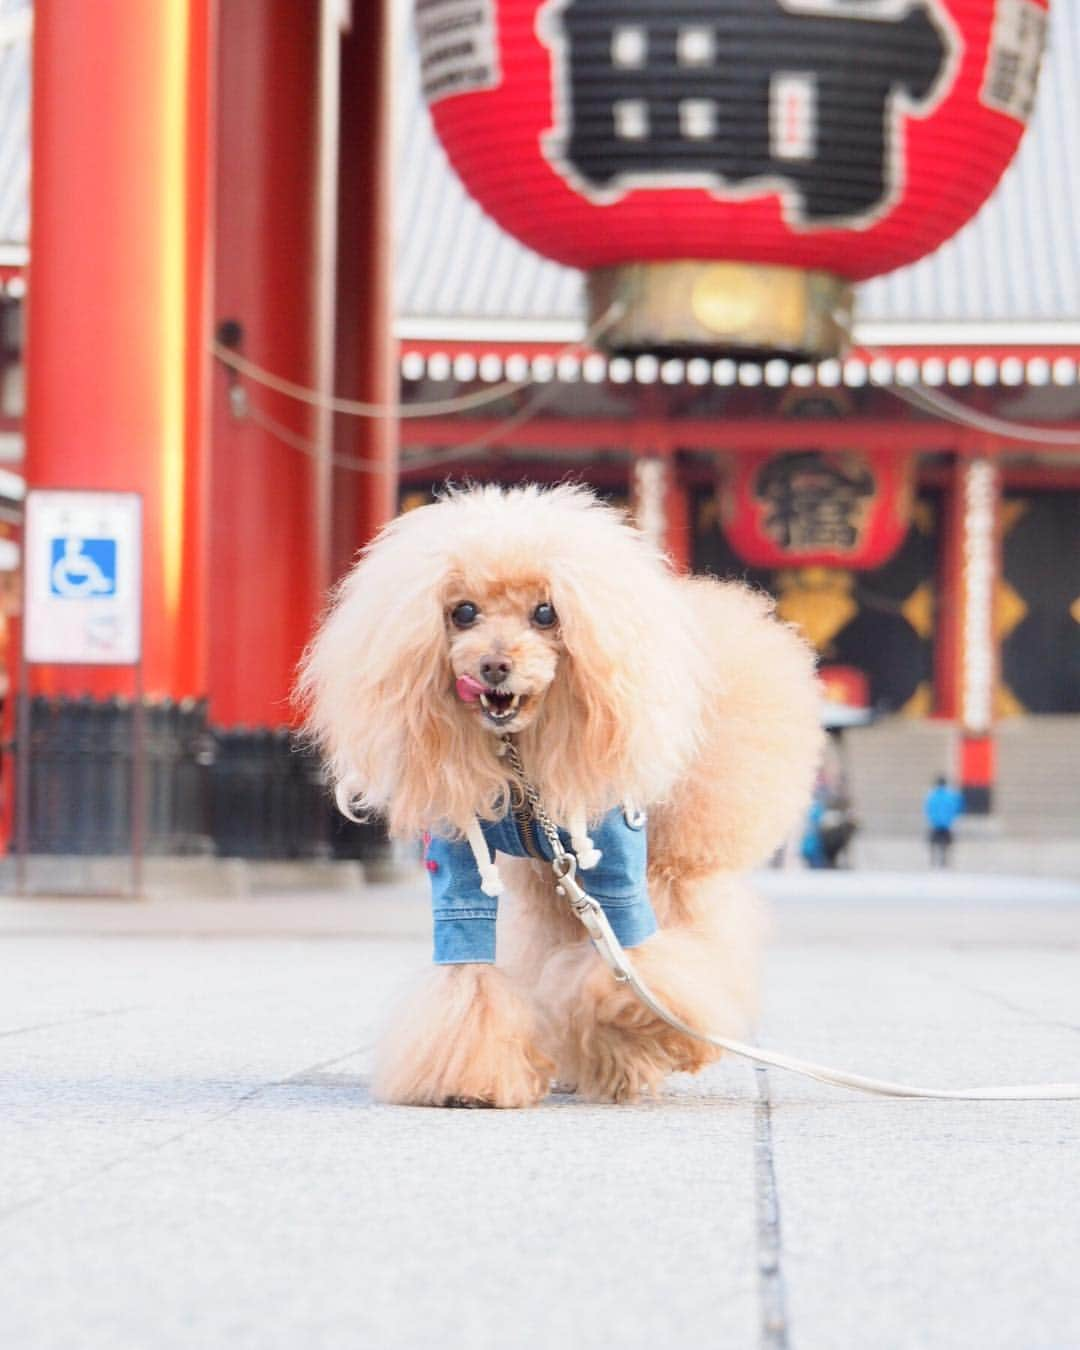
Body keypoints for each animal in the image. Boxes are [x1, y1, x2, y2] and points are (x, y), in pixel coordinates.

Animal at [295, 486, 820, 1107]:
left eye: (546, 613)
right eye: (463, 611)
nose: (495, 664)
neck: (522, 761)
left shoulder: (617, 854)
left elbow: (633, 956)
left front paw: (643, 1035)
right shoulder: (458, 858)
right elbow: (468, 965)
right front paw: (467, 1079)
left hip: (673, 854)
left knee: (695, 925)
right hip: (550, 885)